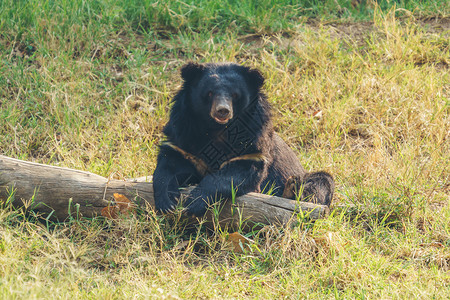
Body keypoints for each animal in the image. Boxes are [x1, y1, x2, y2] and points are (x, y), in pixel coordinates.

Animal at [153, 62, 332, 216]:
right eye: (209, 93)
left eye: (235, 95)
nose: (222, 111)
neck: (217, 128)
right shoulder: (184, 136)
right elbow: (170, 166)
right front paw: (167, 203)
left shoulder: (252, 144)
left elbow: (236, 174)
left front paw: (194, 203)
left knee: (320, 182)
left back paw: (291, 188)